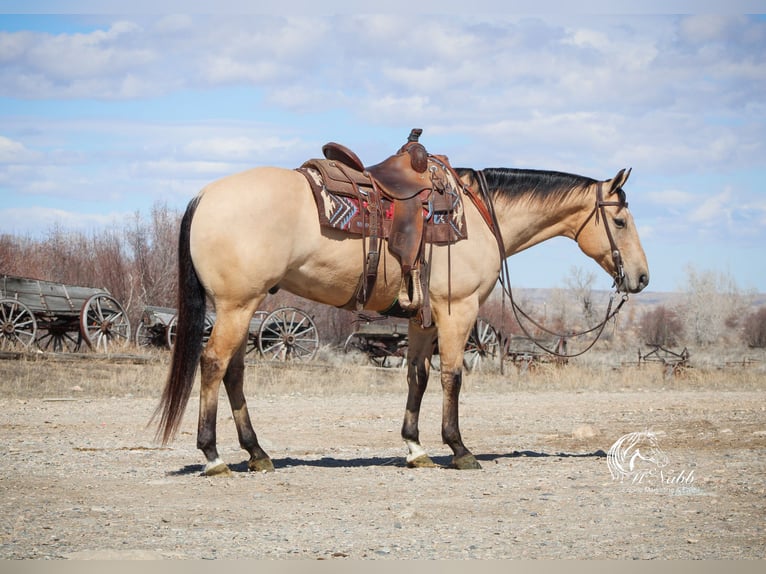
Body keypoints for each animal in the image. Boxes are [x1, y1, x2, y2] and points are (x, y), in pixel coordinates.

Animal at [153, 136, 652, 476]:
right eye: (620, 220)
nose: (643, 277)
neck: (479, 214)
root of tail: (205, 196)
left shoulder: (422, 318)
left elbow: (418, 377)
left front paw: (415, 448)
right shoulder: (457, 310)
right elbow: (452, 375)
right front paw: (459, 448)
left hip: (243, 307)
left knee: (234, 372)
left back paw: (257, 453)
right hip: (236, 306)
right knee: (213, 364)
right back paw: (213, 456)